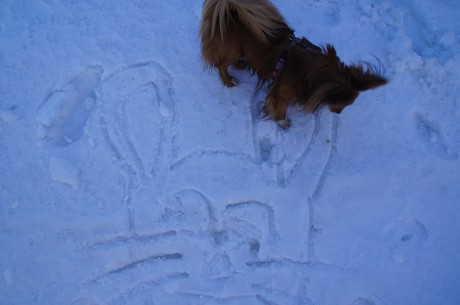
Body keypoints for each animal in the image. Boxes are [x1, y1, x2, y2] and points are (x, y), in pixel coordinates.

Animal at [199, 0, 386, 127]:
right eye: (341, 104)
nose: (338, 112)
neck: (312, 73)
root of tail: (229, 9)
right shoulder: (280, 94)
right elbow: (279, 107)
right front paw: (283, 122)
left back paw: (241, 65)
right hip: (232, 50)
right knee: (221, 65)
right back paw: (229, 80)